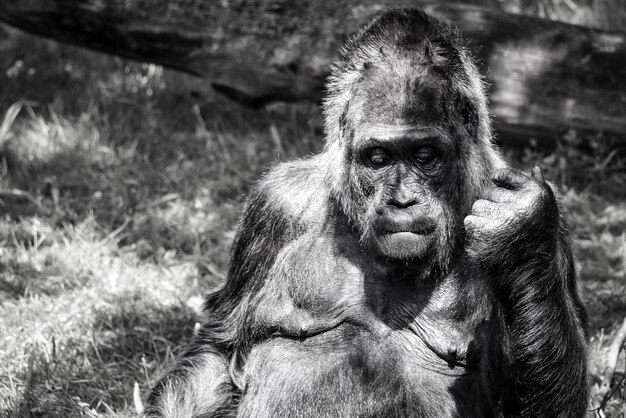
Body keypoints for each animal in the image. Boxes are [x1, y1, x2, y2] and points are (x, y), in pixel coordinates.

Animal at [144, 7, 588, 418]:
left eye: (424, 155)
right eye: (378, 158)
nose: (401, 200)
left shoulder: (554, 226)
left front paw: (520, 234)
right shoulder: (275, 204)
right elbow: (220, 347)